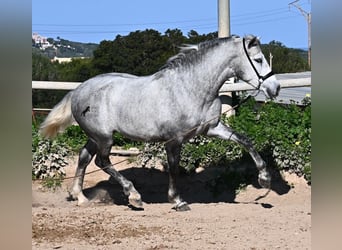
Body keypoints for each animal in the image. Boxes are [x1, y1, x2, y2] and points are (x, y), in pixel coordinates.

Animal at [40, 34, 280, 211]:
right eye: (258, 60)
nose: (275, 88)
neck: (190, 88)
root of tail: (79, 90)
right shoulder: (174, 140)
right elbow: (174, 169)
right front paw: (178, 201)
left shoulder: (211, 129)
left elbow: (245, 140)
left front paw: (265, 179)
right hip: (104, 137)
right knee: (102, 161)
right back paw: (134, 196)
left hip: (95, 137)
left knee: (84, 157)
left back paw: (79, 197)